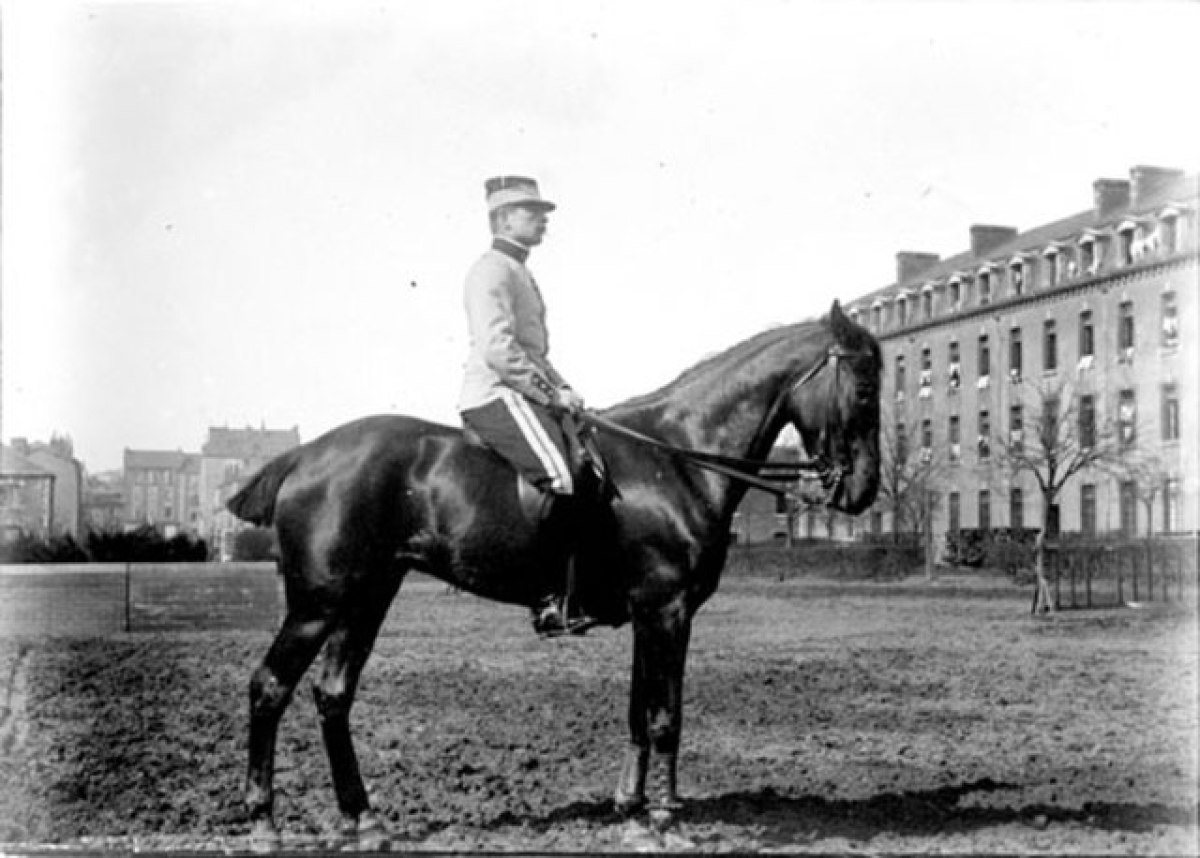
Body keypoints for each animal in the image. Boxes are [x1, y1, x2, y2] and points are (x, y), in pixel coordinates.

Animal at [226, 298, 883, 849]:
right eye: (864, 390)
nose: (863, 491)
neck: (675, 458)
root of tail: (304, 456)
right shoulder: (667, 612)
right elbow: (665, 715)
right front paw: (667, 820)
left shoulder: (649, 615)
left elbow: (638, 712)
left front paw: (631, 811)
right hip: (318, 605)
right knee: (270, 687)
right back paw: (263, 822)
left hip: (367, 598)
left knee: (333, 693)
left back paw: (363, 819)